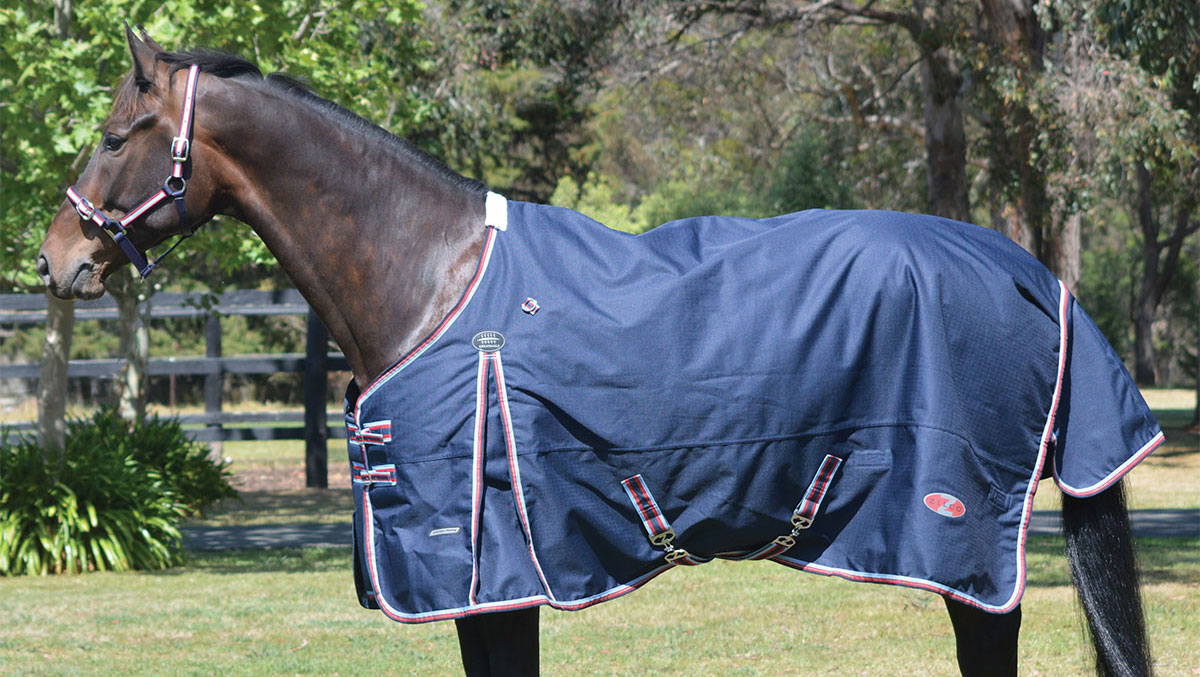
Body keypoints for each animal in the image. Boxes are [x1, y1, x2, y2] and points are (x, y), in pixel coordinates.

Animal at [37, 29, 1159, 676]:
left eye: (115, 133)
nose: (55, 257)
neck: (431, 275)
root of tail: (1034, 276)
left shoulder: (489, 579)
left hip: (966, 555)